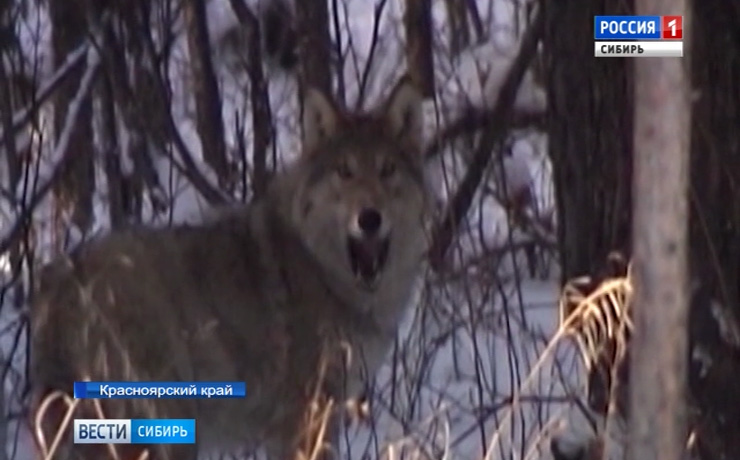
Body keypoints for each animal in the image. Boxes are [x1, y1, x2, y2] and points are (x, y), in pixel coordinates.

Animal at [31, 76, 430, 460]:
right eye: (344, 172)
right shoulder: (305, 420)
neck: (322, 270)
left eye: (388, 170)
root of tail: (66, 285)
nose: (369, 218)